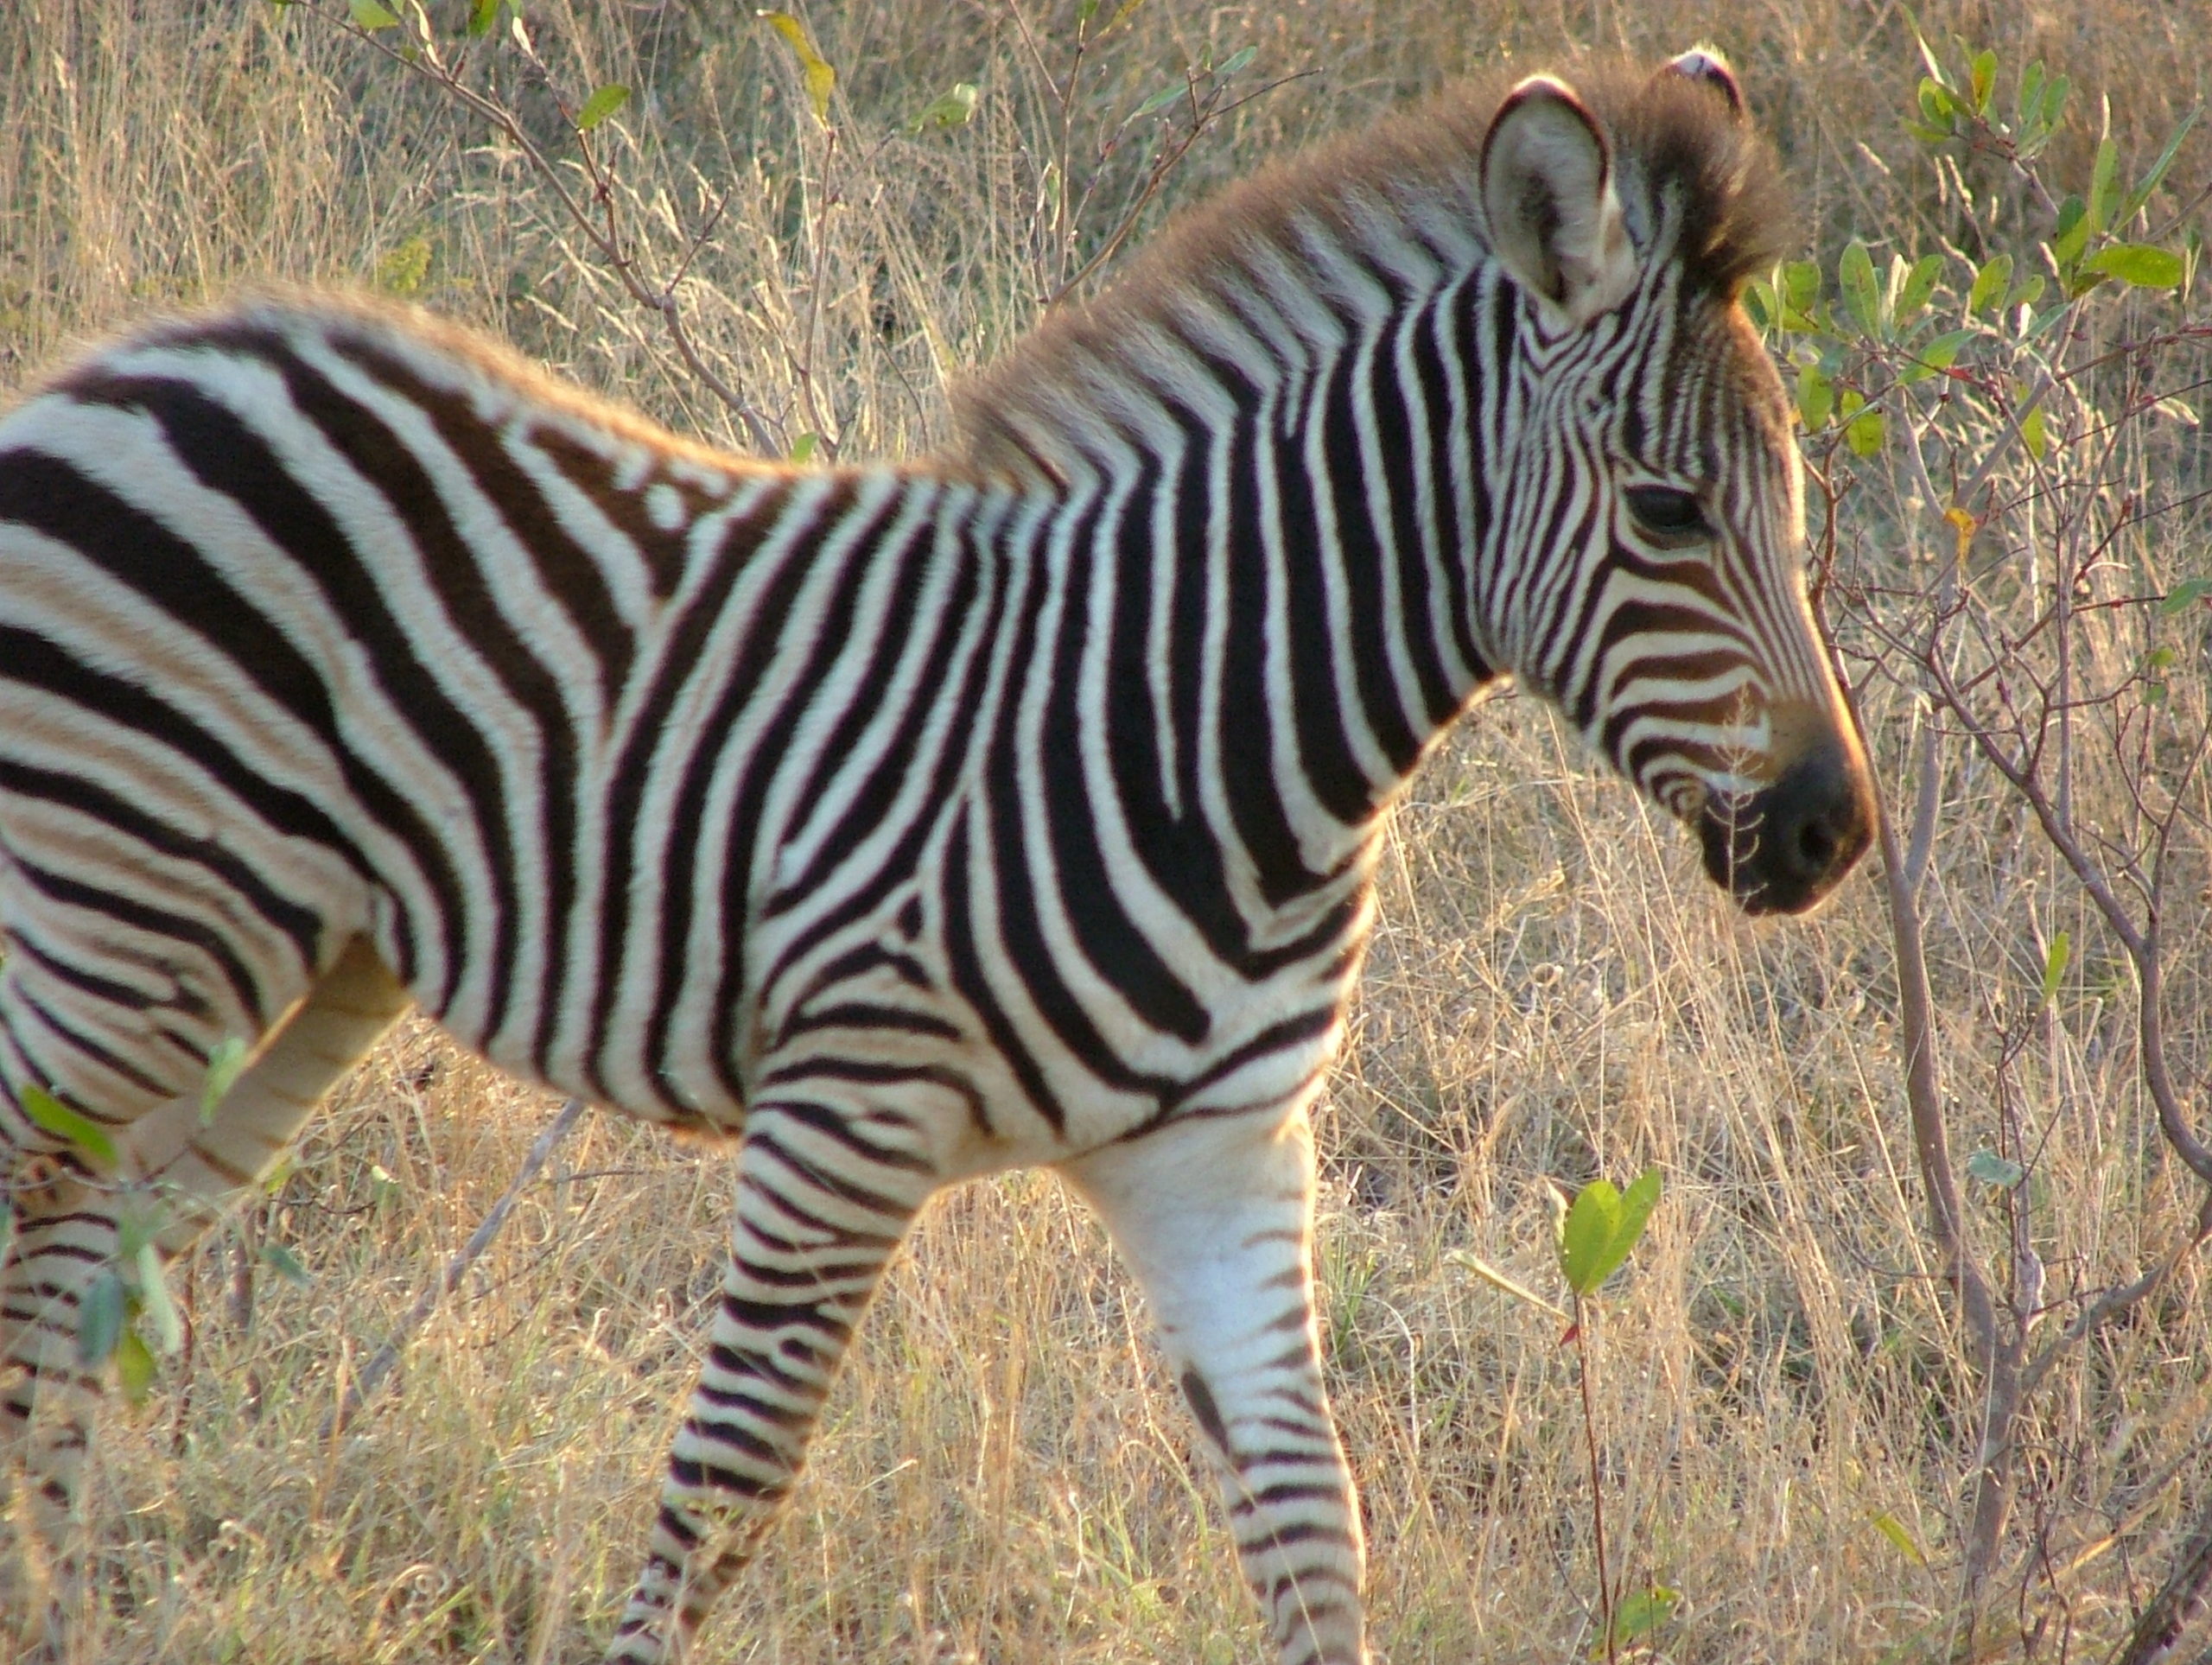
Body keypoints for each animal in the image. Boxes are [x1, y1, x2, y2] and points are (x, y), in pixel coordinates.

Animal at [0, 47, 1871, 1665]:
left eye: (1791, 495)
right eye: (1665, 512)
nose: (1831, 833)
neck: (1202, 735)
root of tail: (132, 358)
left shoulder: (1223, 1155)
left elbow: (1312, 1521)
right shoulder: (845, 1113)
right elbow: (724, 1492)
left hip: (295, 964)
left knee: (98, 1267)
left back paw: (73, 1605)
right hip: (123, 923)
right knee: (47, 1252)